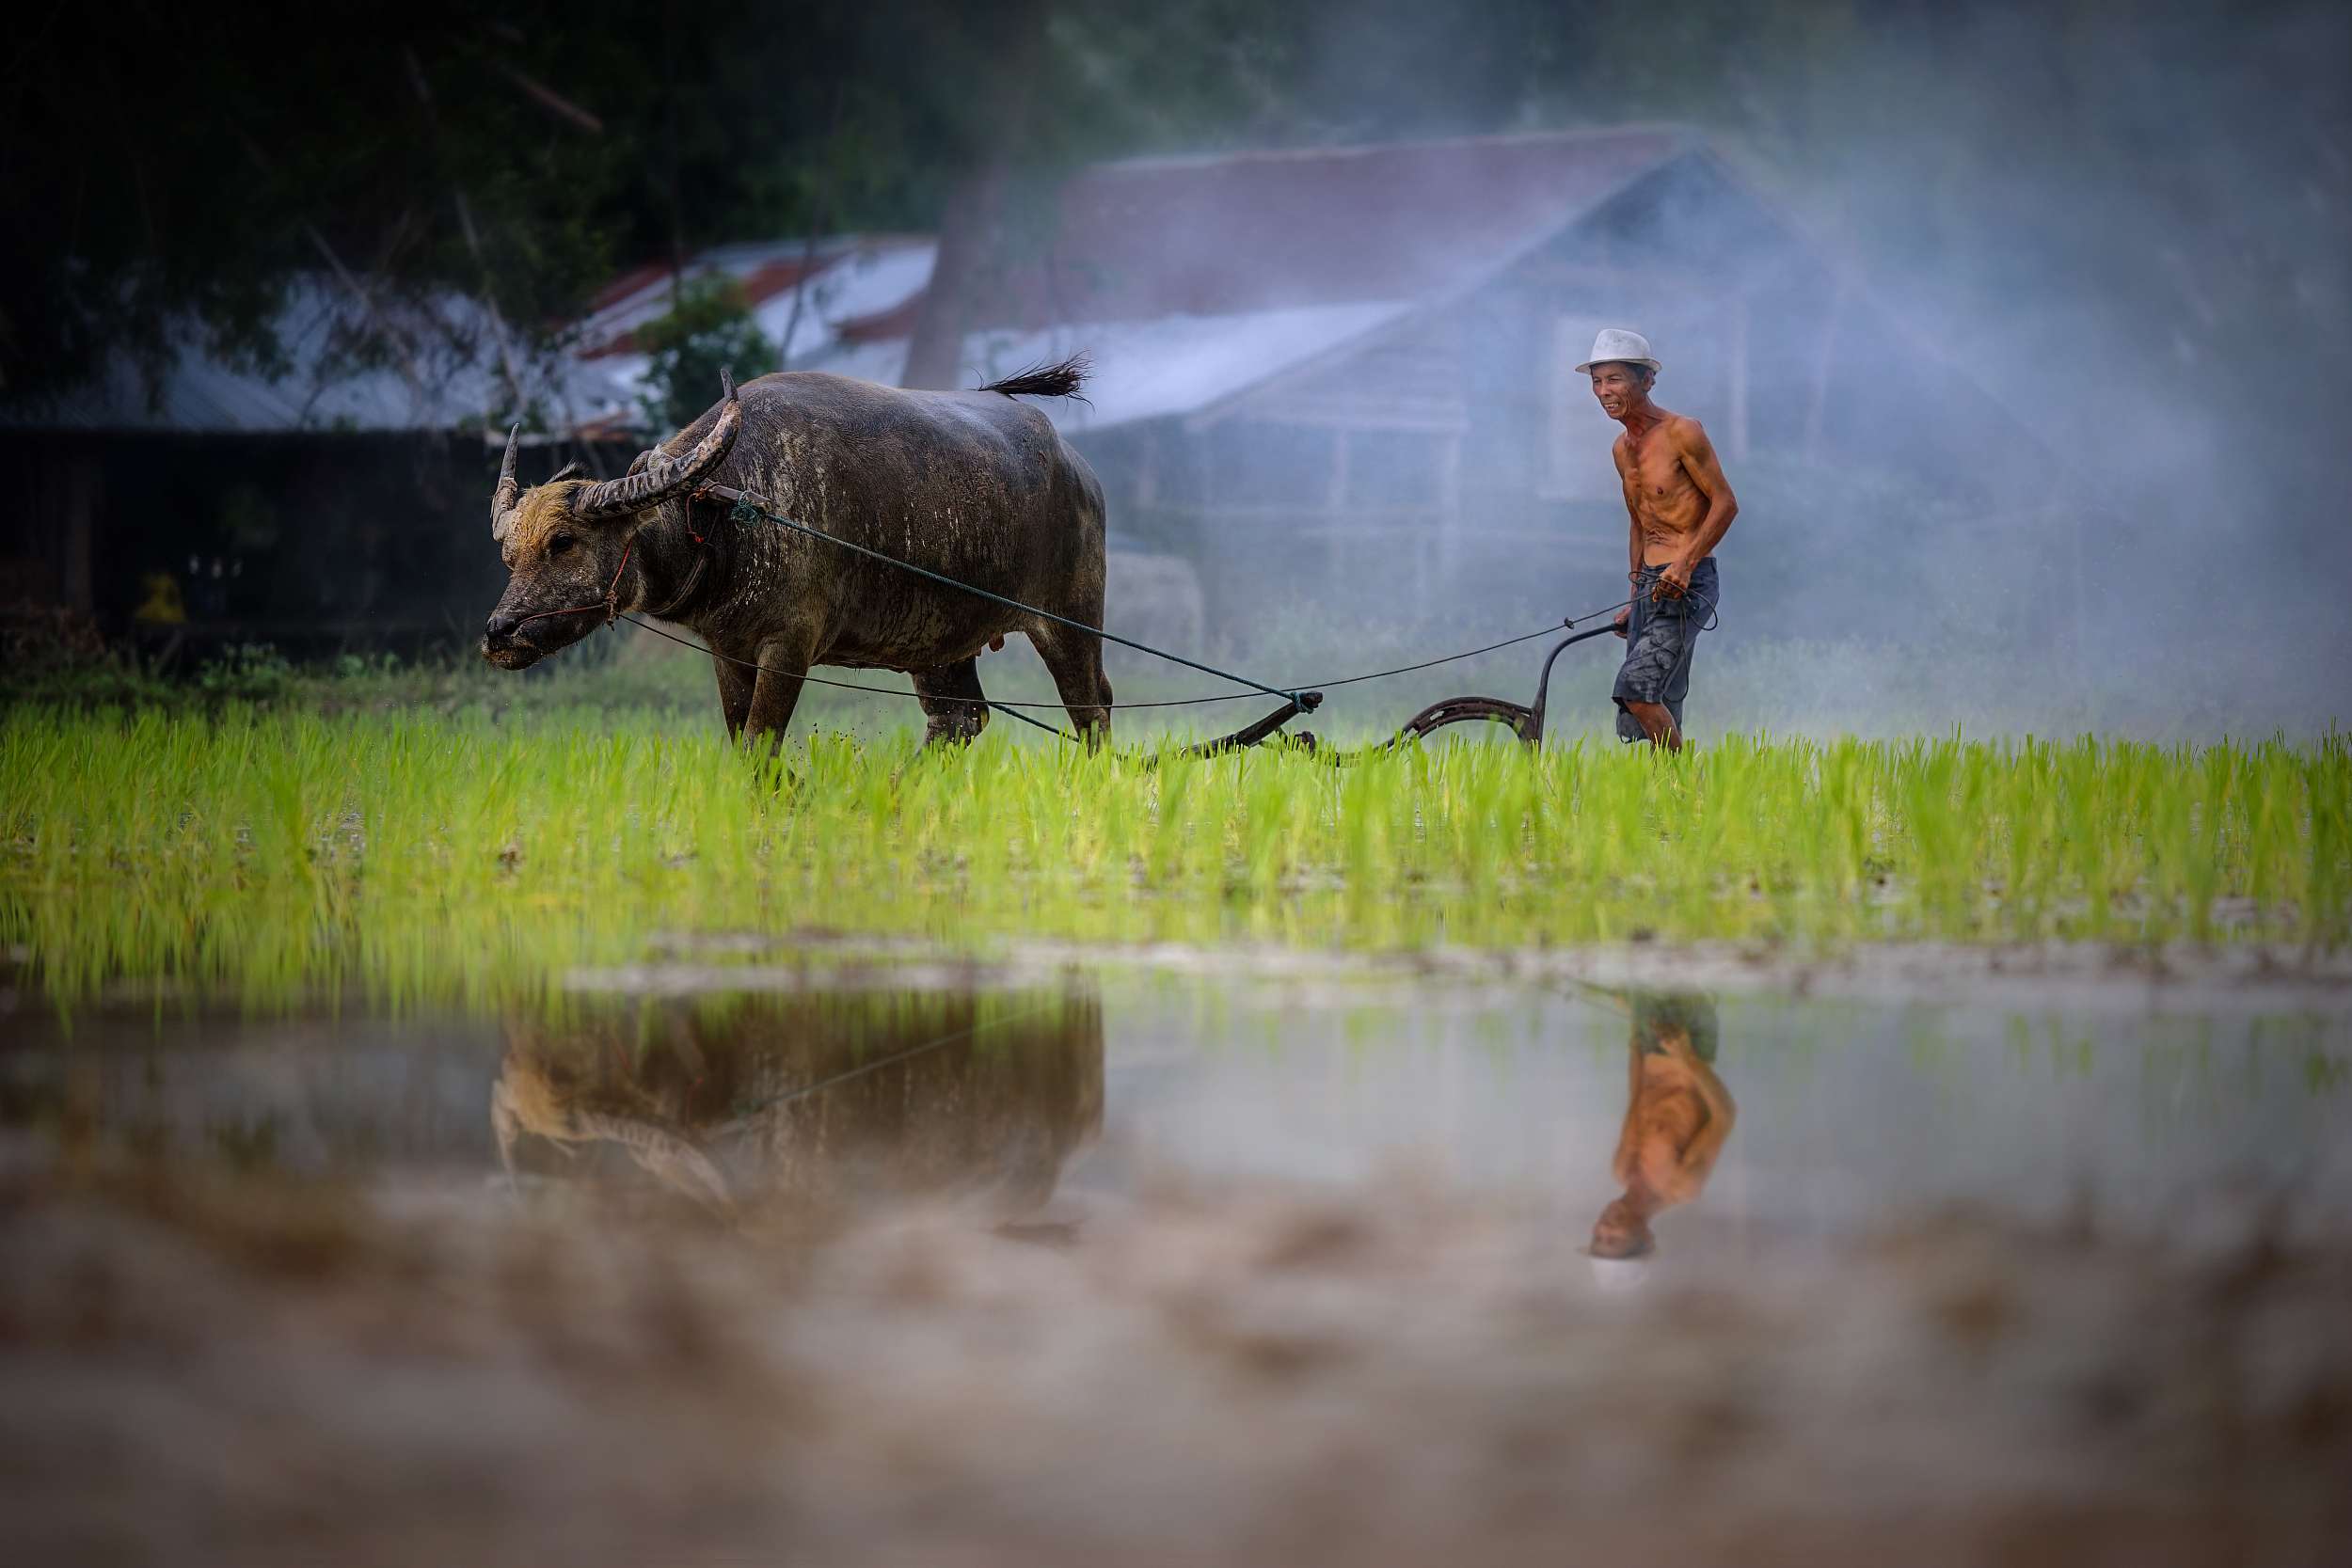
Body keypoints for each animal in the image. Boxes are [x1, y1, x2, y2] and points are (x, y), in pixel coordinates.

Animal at [477, 359, 1110, 747]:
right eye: (509, 555)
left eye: (564, 542)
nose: (499, 632)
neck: (722, 512)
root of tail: (1079, 471)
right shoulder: (728, 650)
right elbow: (743, 745)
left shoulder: (789, 646)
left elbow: (762, 744)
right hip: (940, 641)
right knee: (958, 720)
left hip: (1069, 620)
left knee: (1092, 709)